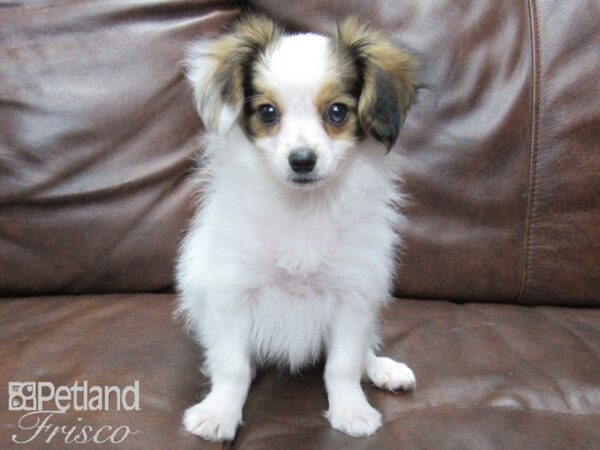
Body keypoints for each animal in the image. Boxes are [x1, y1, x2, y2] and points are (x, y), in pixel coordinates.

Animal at [176, 14, 414, 442]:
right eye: (268, 112)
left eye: (337, 112)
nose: (302, 160)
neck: (302, 208)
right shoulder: (232, 292)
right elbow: (232, 366)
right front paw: (219, 412)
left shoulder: (353, 295)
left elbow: (344, 365)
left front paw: (351, 410)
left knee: (365, 352)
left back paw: (383, 369)